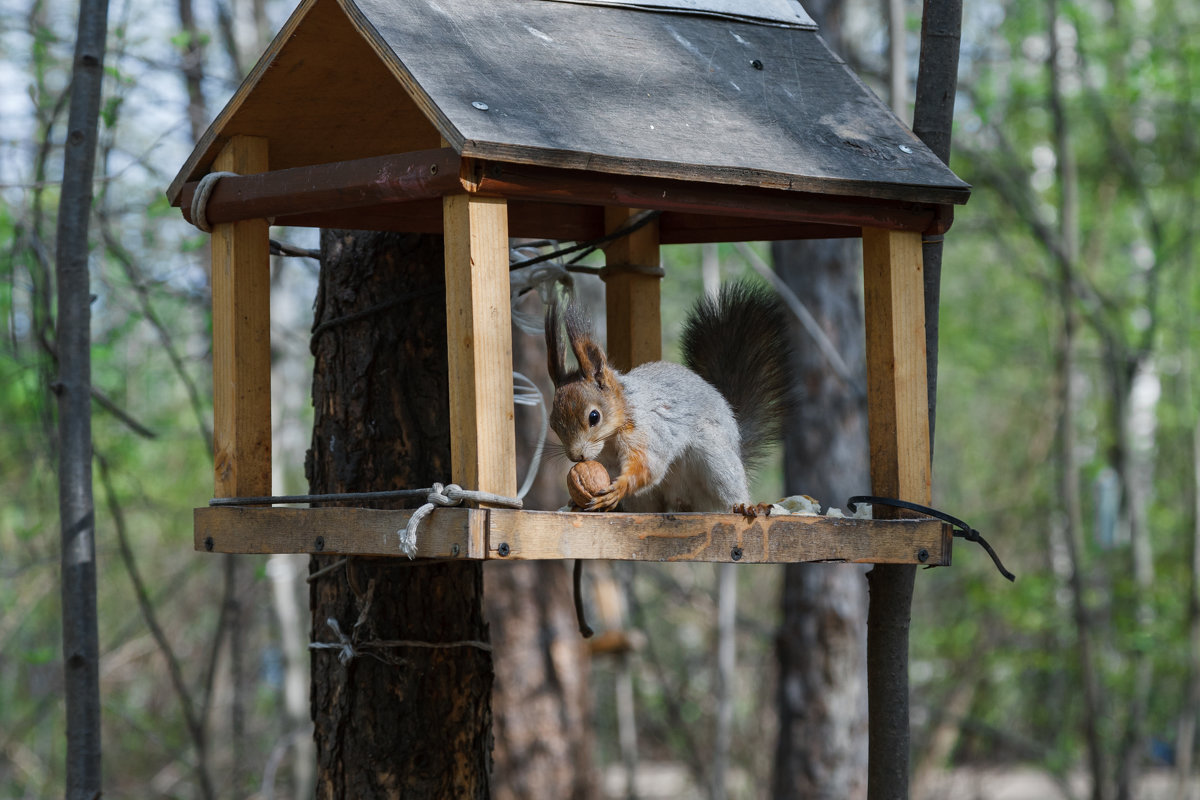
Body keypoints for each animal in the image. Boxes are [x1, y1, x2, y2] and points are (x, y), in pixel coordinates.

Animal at [547, 278, 792, 510]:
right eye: (552, 424)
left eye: (594, 417)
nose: (576, 457)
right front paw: (575, 501)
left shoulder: (647, 429)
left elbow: (649, 465)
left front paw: (618, 488)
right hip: (646, 500)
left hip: (716, 459)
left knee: (729, 492)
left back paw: (745, 506)